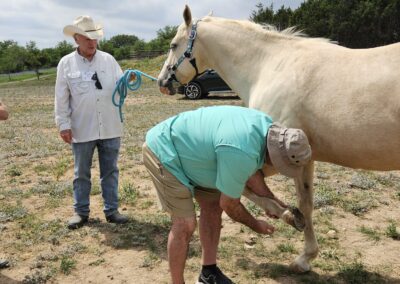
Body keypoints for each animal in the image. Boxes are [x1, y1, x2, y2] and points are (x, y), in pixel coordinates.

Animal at [156, 5, 400, 272]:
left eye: (173, 45)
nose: (162, 82)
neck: (269, 66)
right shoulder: (304, 158)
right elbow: (306, 203)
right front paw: (305, 254)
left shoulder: (271, 155)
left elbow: (243, 190)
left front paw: (288, 218)